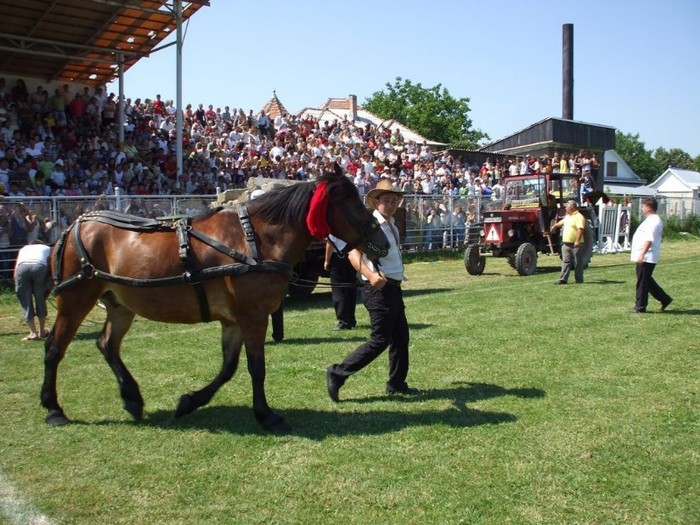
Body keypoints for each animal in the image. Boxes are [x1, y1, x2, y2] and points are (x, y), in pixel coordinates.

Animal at [41, 166, 388, 432]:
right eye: (354, 204)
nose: (383, 241)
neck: (255, 240)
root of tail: (74, 226)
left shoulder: (234, 320)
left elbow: (228, 368)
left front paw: (189, 402)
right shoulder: (253, 316)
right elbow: (256, 367)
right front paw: (267, 416)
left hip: (120, 304)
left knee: (107, 345)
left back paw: (132, 398)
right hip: (76, 300)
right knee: (55, 348)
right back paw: (53, 408)